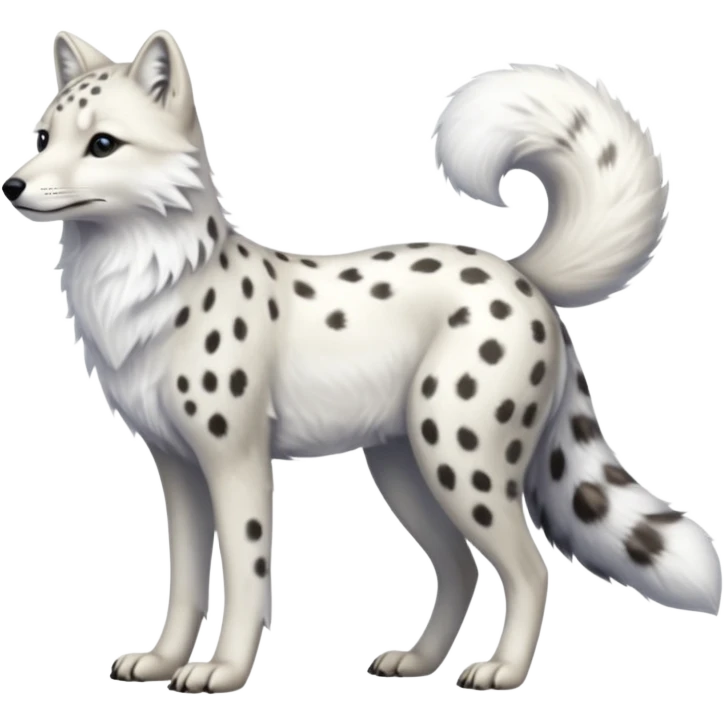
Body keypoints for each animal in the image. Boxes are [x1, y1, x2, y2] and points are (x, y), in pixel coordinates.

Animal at [2, 31, 721, 696]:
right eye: (43, 135)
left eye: (103, 144)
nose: (12, 184)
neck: (147, 279)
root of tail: (520, 276)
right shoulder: (176, 465)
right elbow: (183, 577)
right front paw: (160, 661)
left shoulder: (235, 458)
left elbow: (245, 571)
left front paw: (225, 670)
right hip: (406, 465)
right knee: (460, 567)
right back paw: (419, 662)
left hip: (460, 461)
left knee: (529, 567)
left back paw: (504, 671)